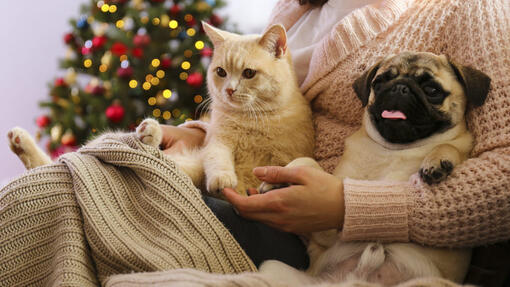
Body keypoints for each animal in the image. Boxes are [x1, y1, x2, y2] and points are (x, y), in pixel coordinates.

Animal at [258, 53, 490, 286]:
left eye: (432, 90)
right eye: (379, 83)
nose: (400, 87)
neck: (395, 150)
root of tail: (357, 278)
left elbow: (449, 146)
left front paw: (438, 159)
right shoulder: (325, 234)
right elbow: (306, 161)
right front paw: (275, 181)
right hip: (272, 267)